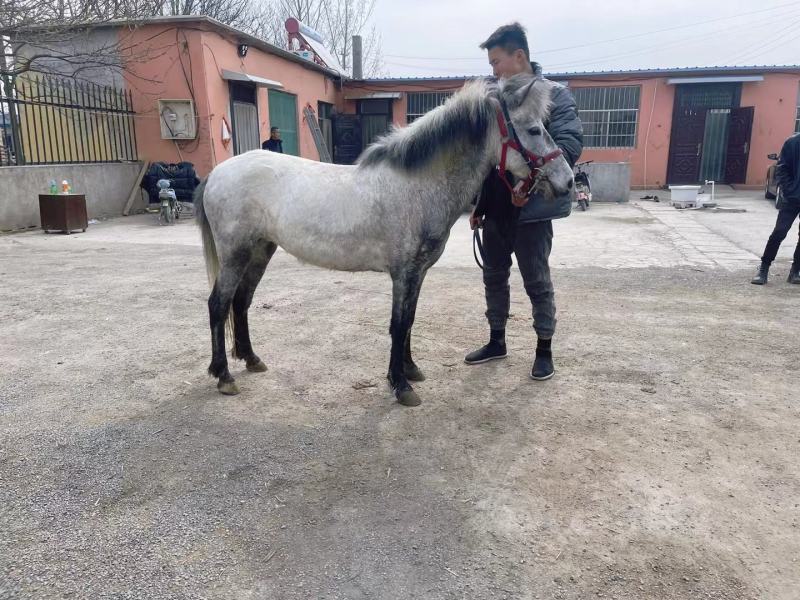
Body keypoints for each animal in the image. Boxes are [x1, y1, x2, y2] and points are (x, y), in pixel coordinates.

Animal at [195, 73, 574, 407]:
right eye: (534, 129)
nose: (568, 181)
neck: (418, 186)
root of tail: (216, 173)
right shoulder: (403, 273)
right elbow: (398, 324)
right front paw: (401, 385)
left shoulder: (417, 273)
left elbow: (409, 322)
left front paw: (410, 369)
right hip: (235, 253)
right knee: (218, 304)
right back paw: (224, 376)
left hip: (260, 250)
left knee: (241, 302)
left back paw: (251, 359)